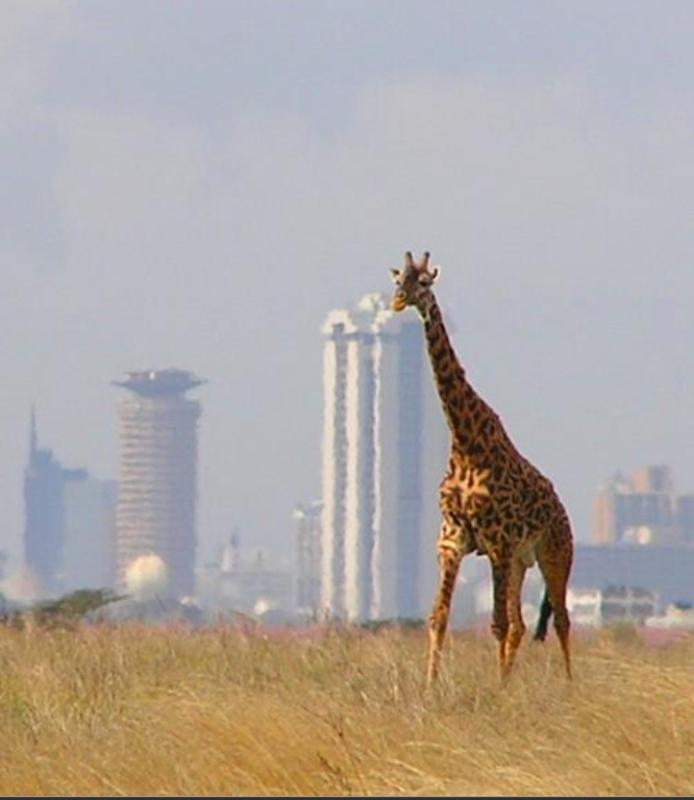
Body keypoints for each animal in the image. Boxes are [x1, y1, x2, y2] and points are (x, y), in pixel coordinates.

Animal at [389, 251, 573, 684]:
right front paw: (430, 687)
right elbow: (438, 618)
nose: (399, 301)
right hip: (521, 561)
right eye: (397, 279)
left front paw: (496, 691)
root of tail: (563, 510)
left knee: (560, 620)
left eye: (425, 282)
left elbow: (497, 624)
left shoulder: (497, 541)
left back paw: (570, 688)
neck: (466, 444)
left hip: (554, 553)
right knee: (524, 624)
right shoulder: (452, 540)